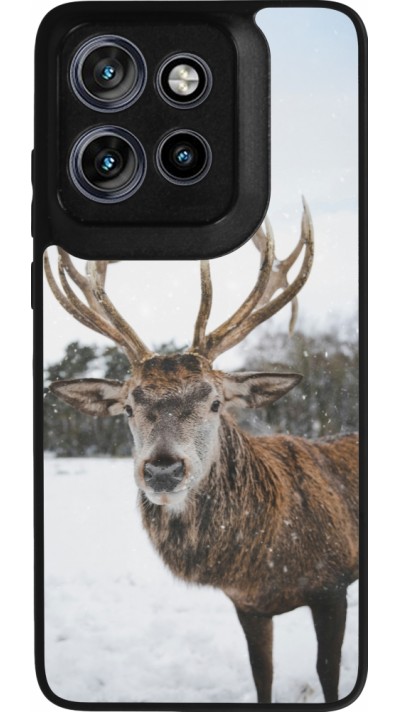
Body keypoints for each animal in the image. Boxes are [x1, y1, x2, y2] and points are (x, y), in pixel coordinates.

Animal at [44, 199, 359, 704]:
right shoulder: (248, 605)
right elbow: (262, 675)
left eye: (215, 402)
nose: (163, 470)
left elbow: (328, 673)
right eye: (128, 407)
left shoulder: (333, 583)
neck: (265, 561)